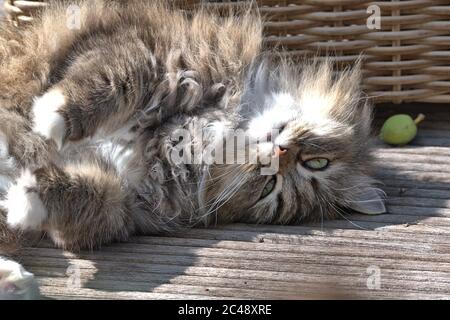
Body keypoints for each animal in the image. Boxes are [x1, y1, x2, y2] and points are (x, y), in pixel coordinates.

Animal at [0, 0, 386, 296]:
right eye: (317, 162)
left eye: (269, 188)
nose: (278, 154)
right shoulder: (144, 50)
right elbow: (109, 82)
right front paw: (49, 120)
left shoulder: (126, 201)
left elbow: (87, 198)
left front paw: (25, 197)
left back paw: (17, 282)